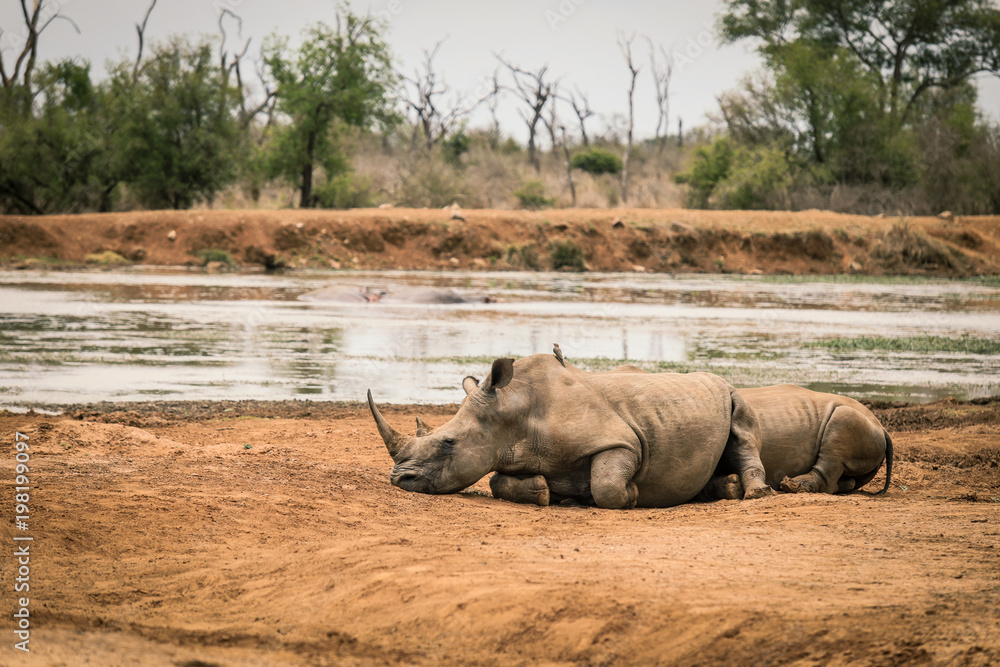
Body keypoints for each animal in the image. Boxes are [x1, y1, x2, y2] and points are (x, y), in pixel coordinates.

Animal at [367, 350, 775, 509]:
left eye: (449, 442)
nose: (398, 479)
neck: (514, 412)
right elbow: (497, 480)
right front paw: (544, 492)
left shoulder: (621, 441)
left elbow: (607, 485)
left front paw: (631, 495)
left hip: (731, 393)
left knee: (743, 431)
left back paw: (753, 494)